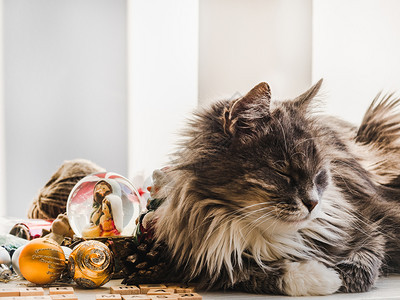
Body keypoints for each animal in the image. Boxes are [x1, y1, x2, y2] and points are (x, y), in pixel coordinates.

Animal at [152, 79, 400, 296]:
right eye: (283, 172)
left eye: (319, 174)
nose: (313, 203)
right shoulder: (211, 259)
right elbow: (253, 274)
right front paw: (323, 277)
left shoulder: (371, 226)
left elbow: (362, 265)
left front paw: (337, 275)